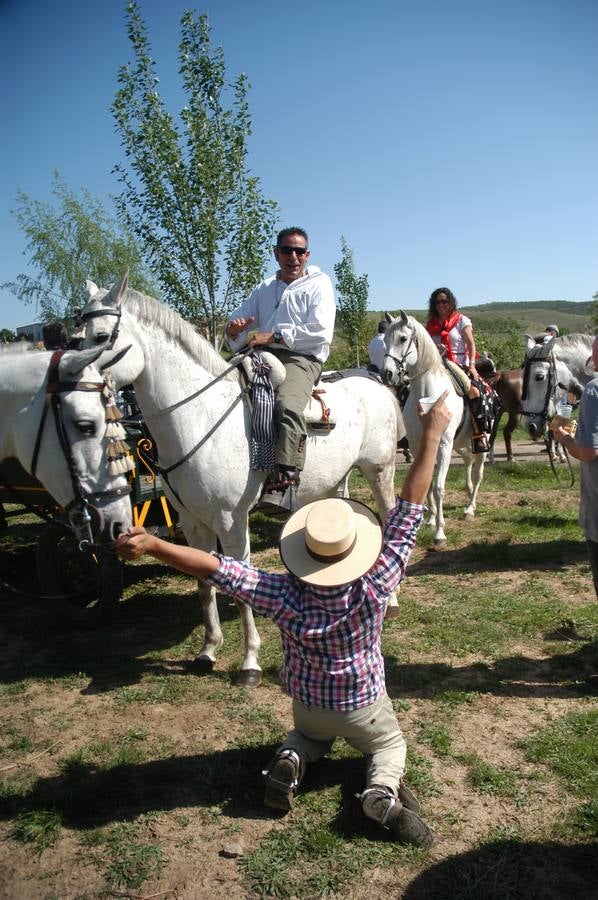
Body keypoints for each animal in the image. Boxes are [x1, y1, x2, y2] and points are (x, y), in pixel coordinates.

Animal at [82, 278, 406, 684]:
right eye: (76, 335)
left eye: (102, 336)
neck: (200, 417)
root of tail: (376, 382)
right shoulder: (193, 523)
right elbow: (204, 584)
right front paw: (207, 651)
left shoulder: (231, 522)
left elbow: (241, 589)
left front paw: (249, 662)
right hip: (334, 482)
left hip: (379, 471)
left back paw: (391, 599)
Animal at [384, 310, 488, 548]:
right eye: (385, 339)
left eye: (403, 338)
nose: (387, 374)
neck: (427, 394)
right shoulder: (418, 445)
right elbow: (428, 484)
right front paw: (430, 520)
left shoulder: (443, 445)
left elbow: (438, 487)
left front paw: (440, 532)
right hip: (461, 444)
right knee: (468, 461)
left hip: (481, 443)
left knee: (478, 473)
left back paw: (470, 508)